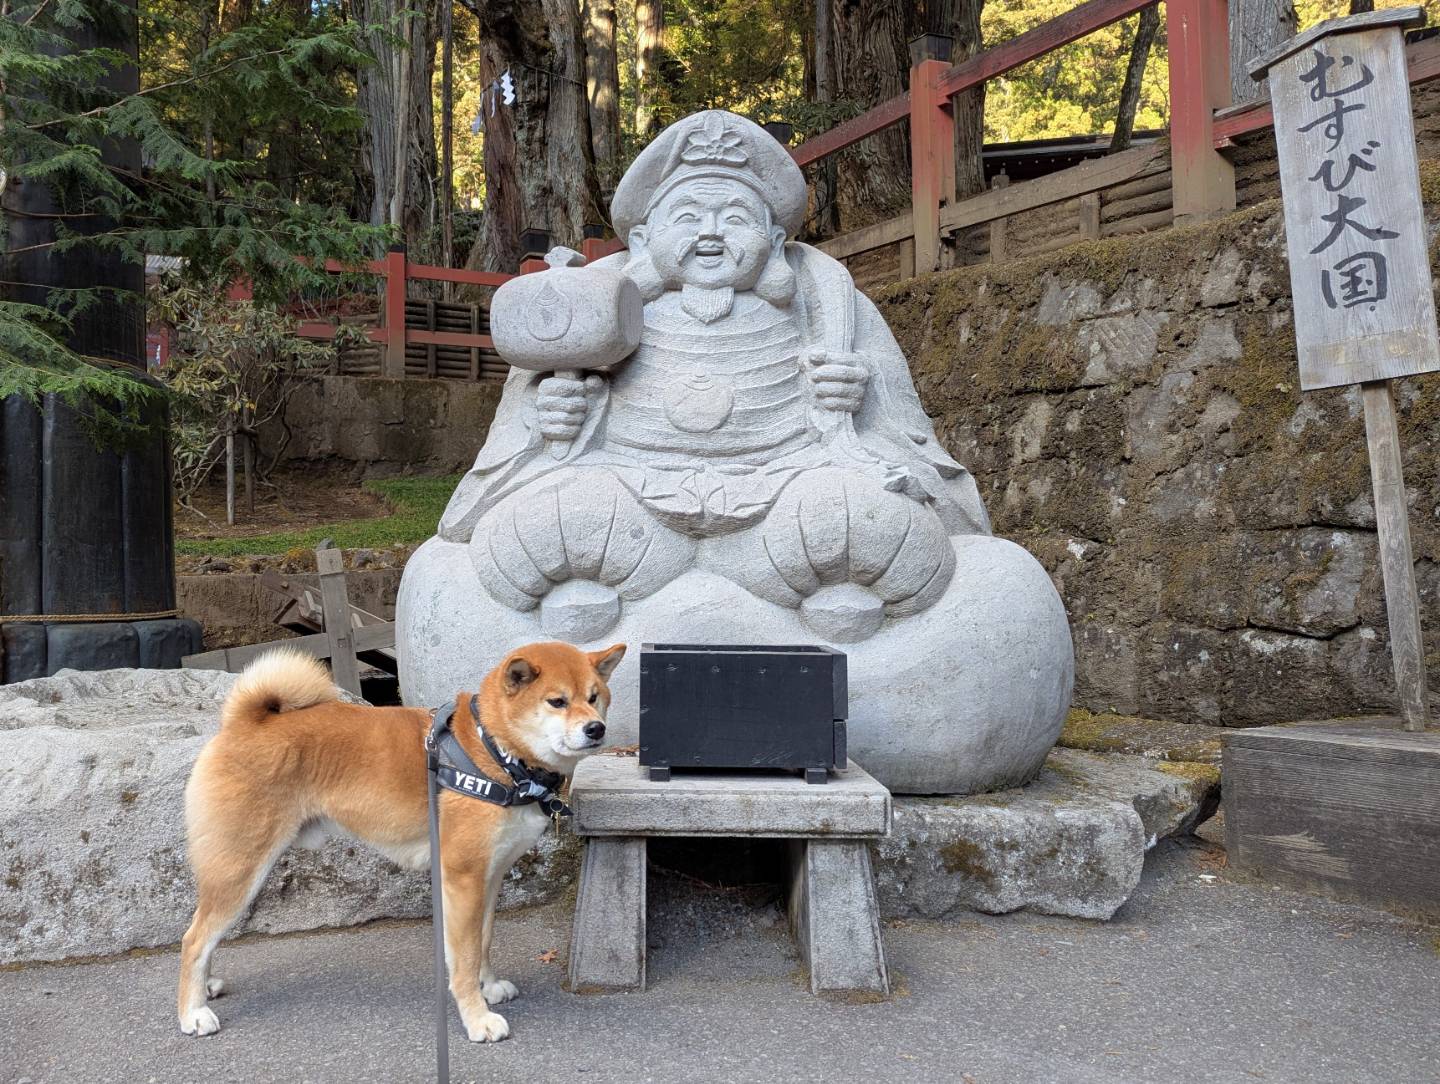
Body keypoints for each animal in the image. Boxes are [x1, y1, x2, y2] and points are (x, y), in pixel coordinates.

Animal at [176, 640, 625, 1042]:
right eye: (557, 702)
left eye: (594, 697)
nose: (596, 728)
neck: (496, 753)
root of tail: (243, 723)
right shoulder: (463, 877)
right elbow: (462, 959)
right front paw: (477, 1018)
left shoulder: (490, 876)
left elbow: (482, 941)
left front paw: (490, 986)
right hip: (240, 870)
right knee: (194, 939)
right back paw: (193, 1012)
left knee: (204, 935)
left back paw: (206, 987)